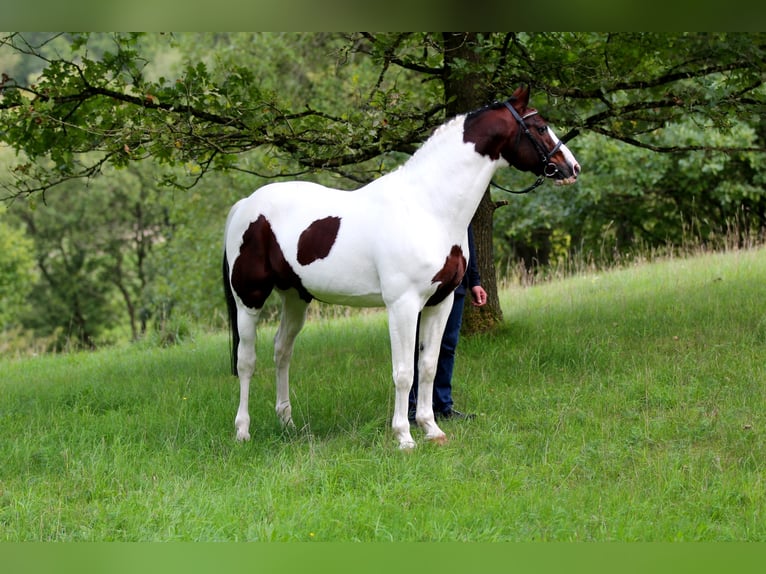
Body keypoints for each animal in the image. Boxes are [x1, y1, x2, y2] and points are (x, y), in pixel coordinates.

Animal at [222, 85, 580, 450]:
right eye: (539, 127)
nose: (572, 168)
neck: (428, 206)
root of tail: (245, 205)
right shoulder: (403, 305)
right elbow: (404, 372)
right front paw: (404, 437)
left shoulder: (441, 302)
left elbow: (429, 366)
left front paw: (431, 429)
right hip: (249, 299)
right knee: (247, 361)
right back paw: (242, 431)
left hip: (295, 296)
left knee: (282, 351)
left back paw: (289, 424)